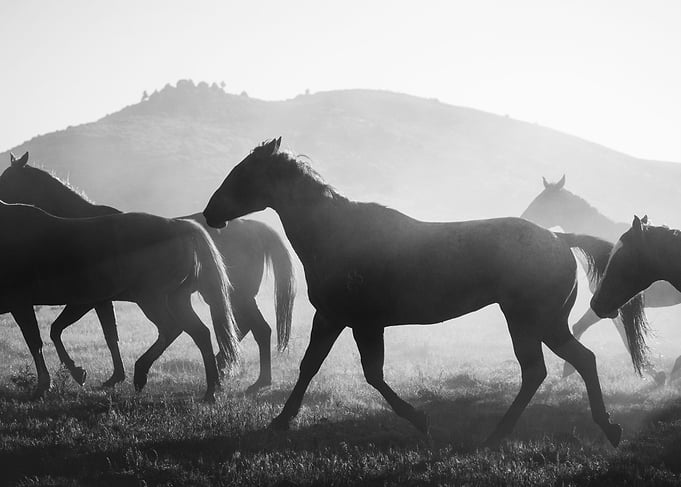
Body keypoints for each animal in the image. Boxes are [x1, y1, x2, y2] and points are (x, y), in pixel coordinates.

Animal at [0, 200, 240, 400]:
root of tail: (179, 226)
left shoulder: (24, 304)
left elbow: (37, 341)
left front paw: (45, 385)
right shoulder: (88, 302)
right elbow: (61, 331)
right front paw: (78, 373)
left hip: (151, 299)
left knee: (171, 328)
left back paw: (141, 373)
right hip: (176, 300)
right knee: (200, 333)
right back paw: (210, 390)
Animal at [202, 138, 649, 447]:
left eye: (244, 173)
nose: (210, 213)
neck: (337, 233)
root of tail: (560, 240)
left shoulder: (358, 322)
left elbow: (371, 374)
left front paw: (420, 419)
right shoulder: (334, 318)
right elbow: (312, 366)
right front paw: (281, 419)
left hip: (532, 322)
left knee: (552, 367)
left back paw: (507, 435)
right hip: (541, 323)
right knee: (564, 365)